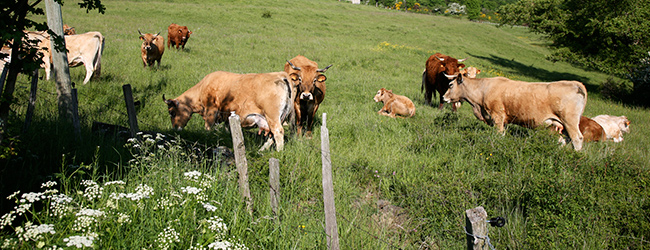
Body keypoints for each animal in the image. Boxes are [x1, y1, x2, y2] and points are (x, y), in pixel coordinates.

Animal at [162, 71, 296, 151]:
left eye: (172, 112)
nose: (175, 129)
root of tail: (280, 75)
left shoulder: (211, 111)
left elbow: (208, 128)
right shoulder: (227, 117)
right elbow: (227, 129)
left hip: (272, 117)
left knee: (278, 132)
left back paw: (279, 152)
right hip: (278, 118)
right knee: (272, 135)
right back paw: (261, 150)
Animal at [440, 72, 588, 150]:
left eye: (450, 85)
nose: (443, 97)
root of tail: (575, 83)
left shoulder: (497, 117)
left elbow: (498, 134)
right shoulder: (504, 120)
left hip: (570, 121)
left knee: (577, 139)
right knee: (564, 140)